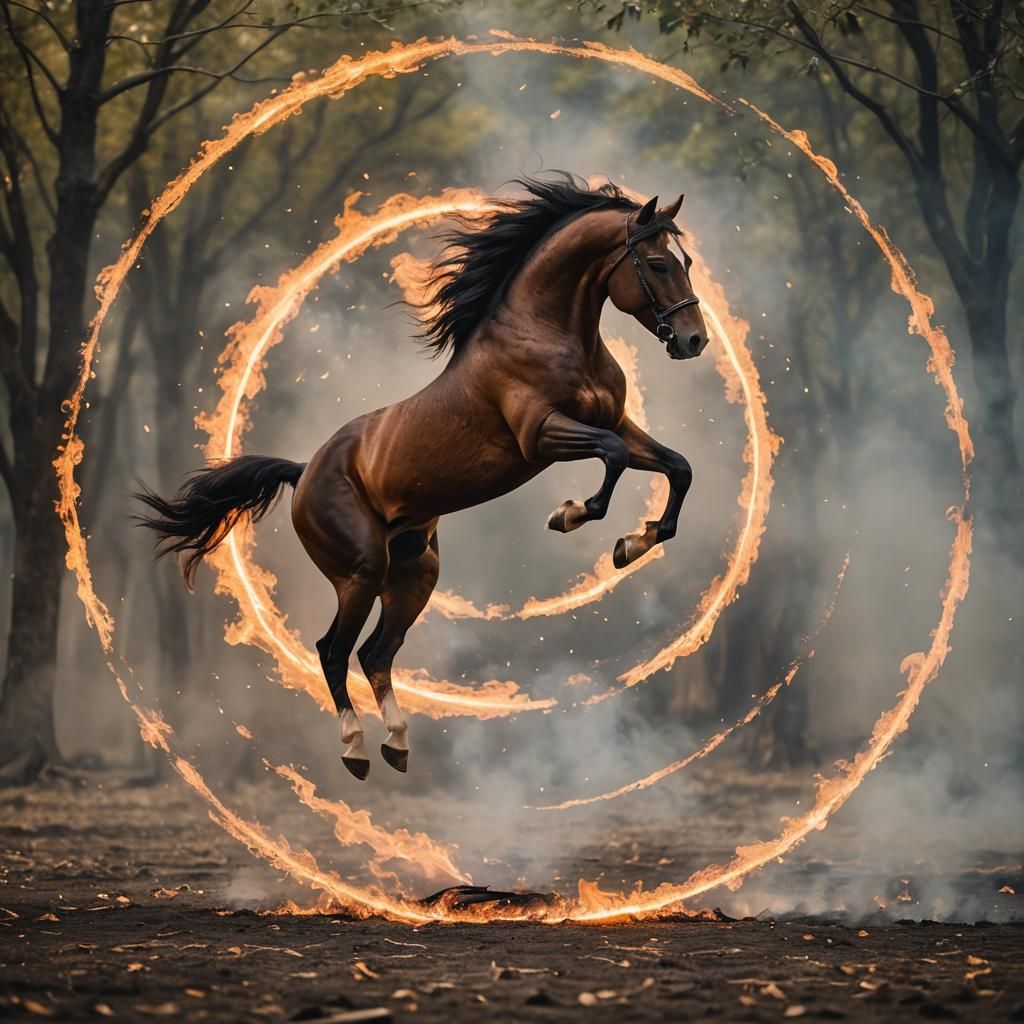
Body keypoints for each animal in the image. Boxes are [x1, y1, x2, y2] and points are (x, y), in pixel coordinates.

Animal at [135, 173, 708, 781]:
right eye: (657, 263)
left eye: (686, 260)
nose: (694, 341)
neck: (549, 332)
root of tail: (305, 471)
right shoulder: (543, 436)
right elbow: (613, 460)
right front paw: (572, 517)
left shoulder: (616, 420)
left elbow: (677, 466)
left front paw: (636, 542)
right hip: (360, 571)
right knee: (333, 651)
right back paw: (356, 750)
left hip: (413, 574)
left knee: (375, 653)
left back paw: (397, 744)